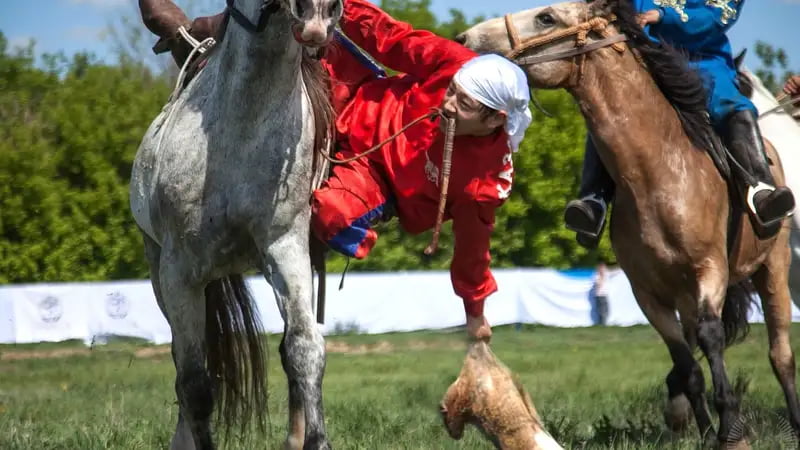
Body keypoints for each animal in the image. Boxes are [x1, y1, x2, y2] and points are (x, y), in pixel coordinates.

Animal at [130, 0, 340, 446]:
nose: (318, 12)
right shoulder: (179, 273)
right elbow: (195, 383)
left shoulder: (285, 247)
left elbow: (303, 349)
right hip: (160, 271)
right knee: (184, 366)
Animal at [456, 0, 800, 446]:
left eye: (547, 17)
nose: (467, 39)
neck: (658, 174)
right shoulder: (648, 292)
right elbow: (687, 363)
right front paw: (705, 430)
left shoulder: (710, 270)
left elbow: (712, 338)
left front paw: (730, 430)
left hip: (773, 269)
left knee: (780, 355)